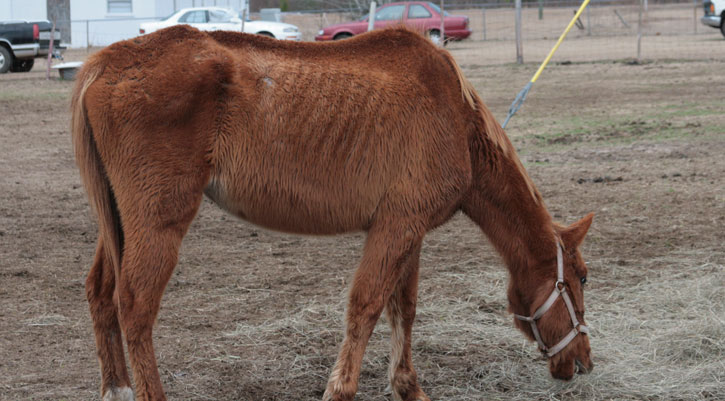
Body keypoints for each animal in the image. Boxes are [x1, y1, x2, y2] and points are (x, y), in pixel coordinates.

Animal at [71, 25, 594, 401]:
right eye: (582, 279)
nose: (585, 362)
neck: (455, 118)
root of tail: (104, 64)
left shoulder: (409, 232)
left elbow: (403, 308)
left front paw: (407, 387)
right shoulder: (397, 228)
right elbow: (365, 307)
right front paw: (341, 389)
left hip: (120, 223)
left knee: (100, 293)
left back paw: (116, 387)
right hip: (157, 224)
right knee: (134, 306)